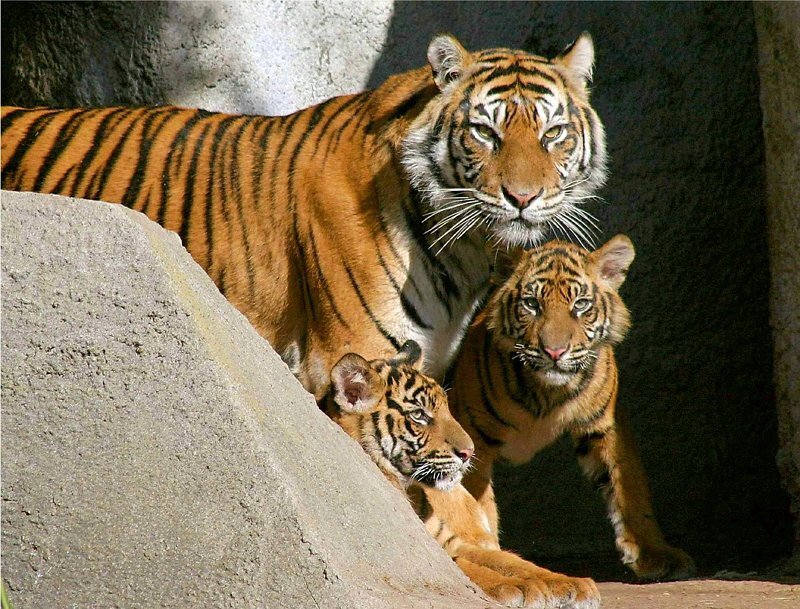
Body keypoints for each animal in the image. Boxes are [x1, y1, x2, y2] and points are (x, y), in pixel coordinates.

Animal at [327, 339, 600, 608]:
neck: (408, 489)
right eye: (419, 415)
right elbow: (465, 570)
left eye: (446, 409)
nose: (469, 452)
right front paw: (521, 588)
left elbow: (510, 561)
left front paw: (571, 584)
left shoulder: (451, 541)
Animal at [447, 235, 697, 582]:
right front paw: (493, 552)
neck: (548, 392)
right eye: (531, 304)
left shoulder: (606, 424)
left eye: (580, 305)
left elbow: (629, 485)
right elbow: (477, 500)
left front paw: (654, 554)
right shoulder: (474, 435)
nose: (554, 351)